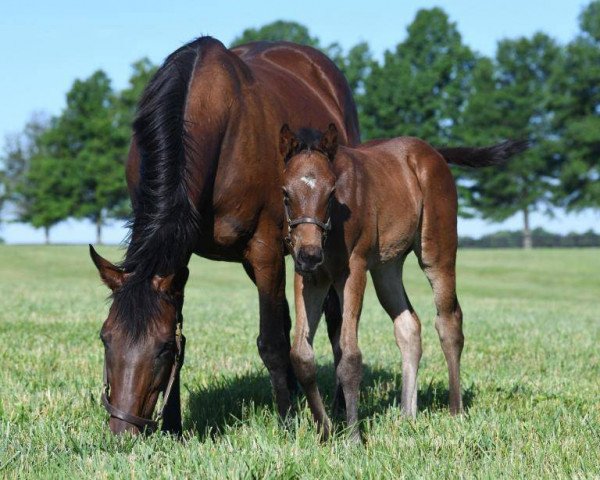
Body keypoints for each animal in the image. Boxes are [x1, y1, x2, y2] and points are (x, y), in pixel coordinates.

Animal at [89, 37, 360, 436]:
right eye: (105, 338)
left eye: (162, 349)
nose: (123, 432)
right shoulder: (180, 255)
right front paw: (174, 427)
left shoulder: (264, 249)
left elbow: (272, 342)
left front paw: (286, 422)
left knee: (334, 318)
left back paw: (338, 403)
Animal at [280, 124, 524, 438]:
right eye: (286, 193)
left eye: (331, 193)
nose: (310, 254)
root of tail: (433, 151)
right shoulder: (310, 277)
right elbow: (301, 355)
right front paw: (325, 432)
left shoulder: (353, 269)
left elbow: (350, 356)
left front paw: (353, 437)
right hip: (387, 267)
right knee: (408, 325)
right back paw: (408, 414)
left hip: (437, 250)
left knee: (449, 321)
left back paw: (455, 410)